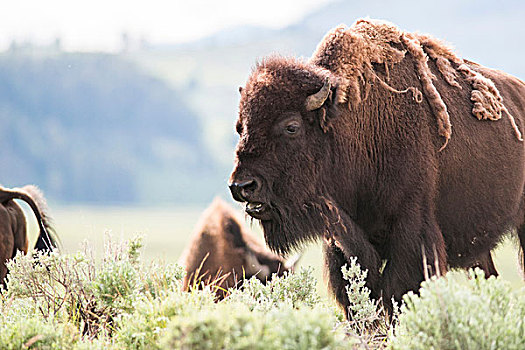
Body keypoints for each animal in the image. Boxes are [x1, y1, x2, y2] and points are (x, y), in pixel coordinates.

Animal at [228, 17, 524, 316]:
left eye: (291, 127)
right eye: (240, 127)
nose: (242, 186)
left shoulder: (410, 230)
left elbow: (396, 292)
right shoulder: (342, 240)